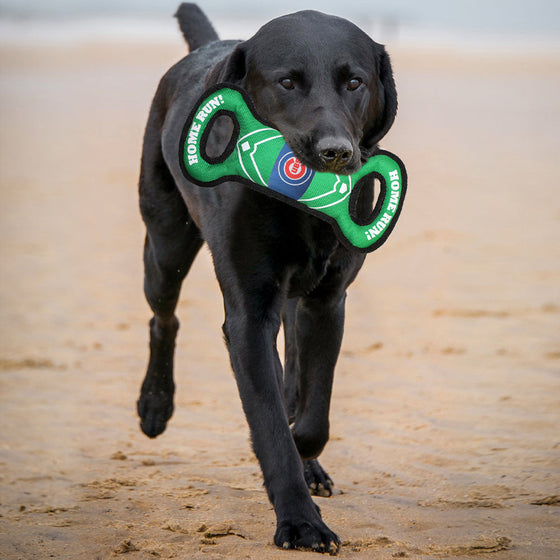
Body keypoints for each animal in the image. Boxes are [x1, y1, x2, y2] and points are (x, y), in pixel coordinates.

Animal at [138, 3, 396, 556]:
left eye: (355, 82)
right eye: (287, 82)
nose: (336, 152)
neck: (301, 210)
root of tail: (208, 47)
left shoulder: (327, 302)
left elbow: (312, 415)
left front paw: (306, 457)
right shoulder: (250, 315)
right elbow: (272, 421)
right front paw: (301, 522)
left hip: (295, 302)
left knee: (294, 373)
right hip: (166, 245)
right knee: (163, 317)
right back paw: (154, 404)